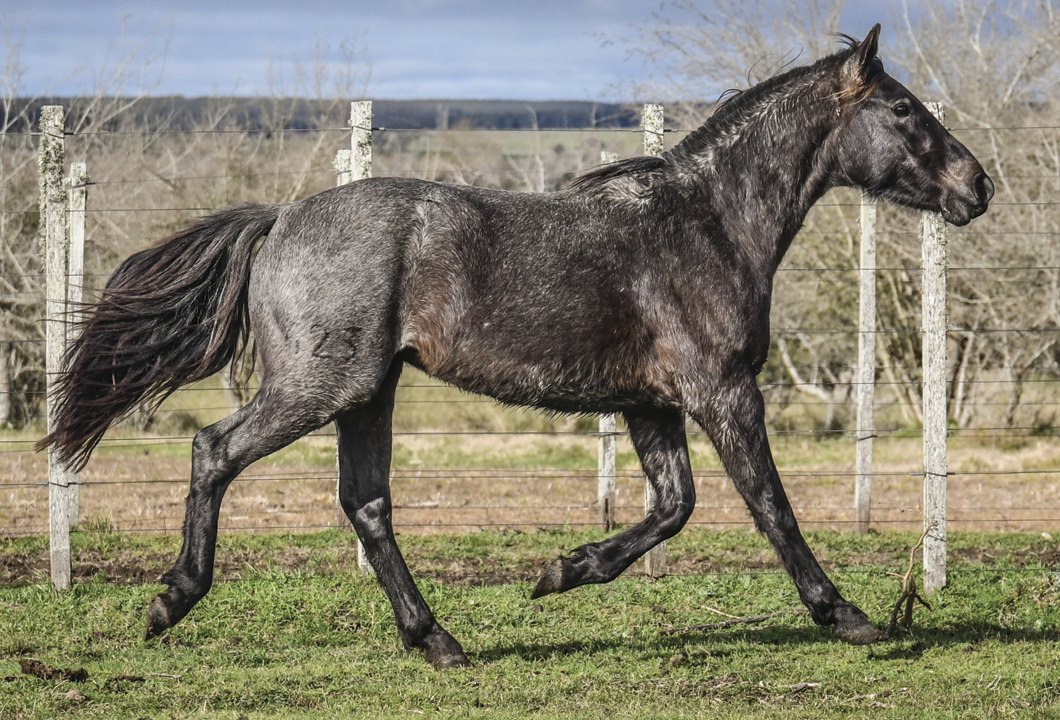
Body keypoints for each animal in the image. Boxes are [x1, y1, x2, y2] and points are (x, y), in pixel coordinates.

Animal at [35, 26, 992, 670]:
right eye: (903, 108)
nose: (979, 186)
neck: (709, 224)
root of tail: (279, 220)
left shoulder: (651, 404)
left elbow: (673, 508)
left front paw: (560, 571)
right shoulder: (722, 392)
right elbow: (769, 507)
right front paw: (850, 617)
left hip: (367, 393)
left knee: (367, 505)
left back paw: (439, 640)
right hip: (320, 384)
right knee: (215, 451)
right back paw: (170, 601)